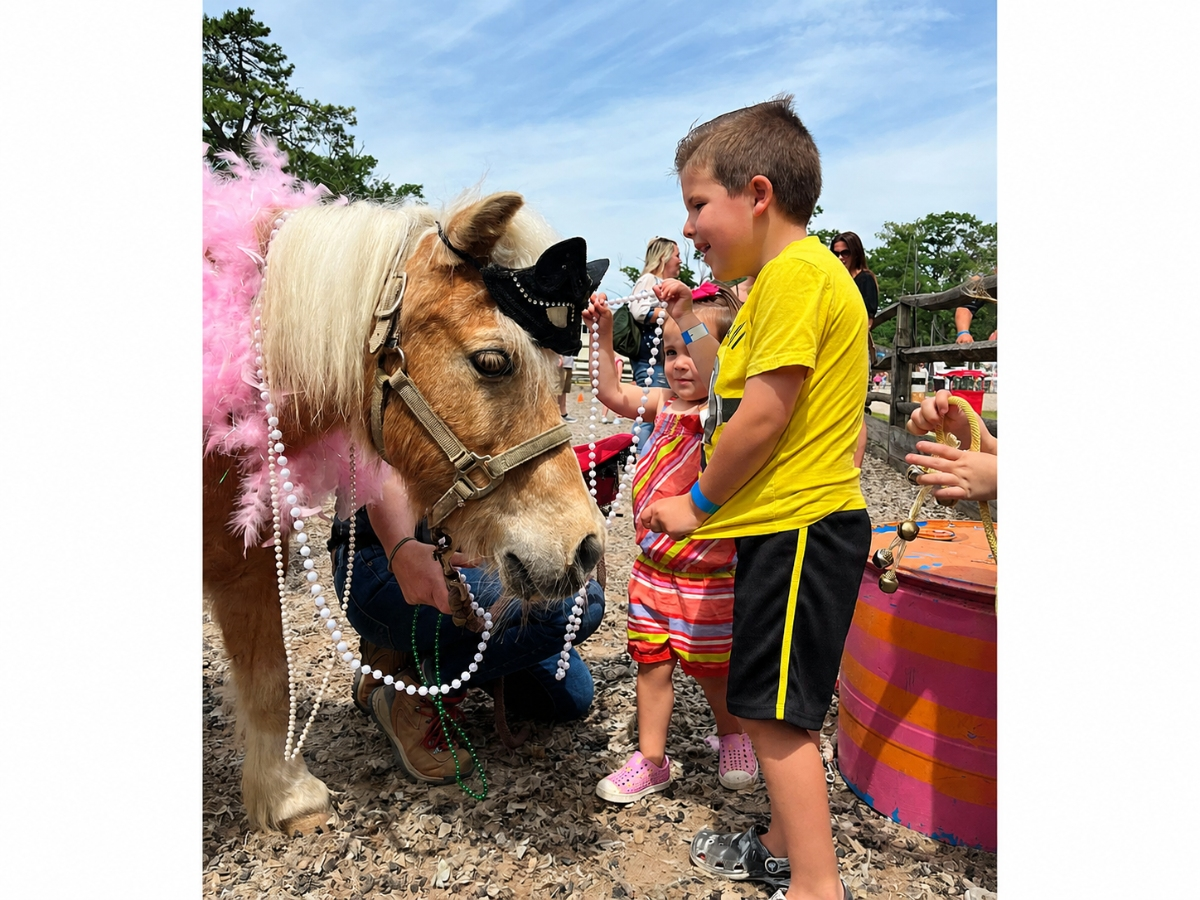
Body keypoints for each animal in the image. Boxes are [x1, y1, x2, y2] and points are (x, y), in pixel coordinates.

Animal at [202, 140, 606, 832]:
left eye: (562, 376)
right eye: (492, 361)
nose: (586, 547)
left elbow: (270, 672)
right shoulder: (241, 559)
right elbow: (267, 675)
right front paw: (290, 797)